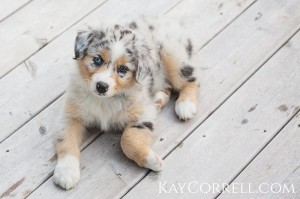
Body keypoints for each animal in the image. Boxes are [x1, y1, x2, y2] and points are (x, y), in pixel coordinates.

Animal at [54, 17, 199, 190]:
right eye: (97, 59)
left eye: (122, 69)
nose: (101, 86)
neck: (104, 100)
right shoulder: (70, 115)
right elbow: (66, 141)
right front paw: (66, 172)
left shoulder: (143, 115)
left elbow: (127, 140)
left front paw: (152, 160)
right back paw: (158, 99)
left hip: (173, 57)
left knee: (192, 80)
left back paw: (186, 105)